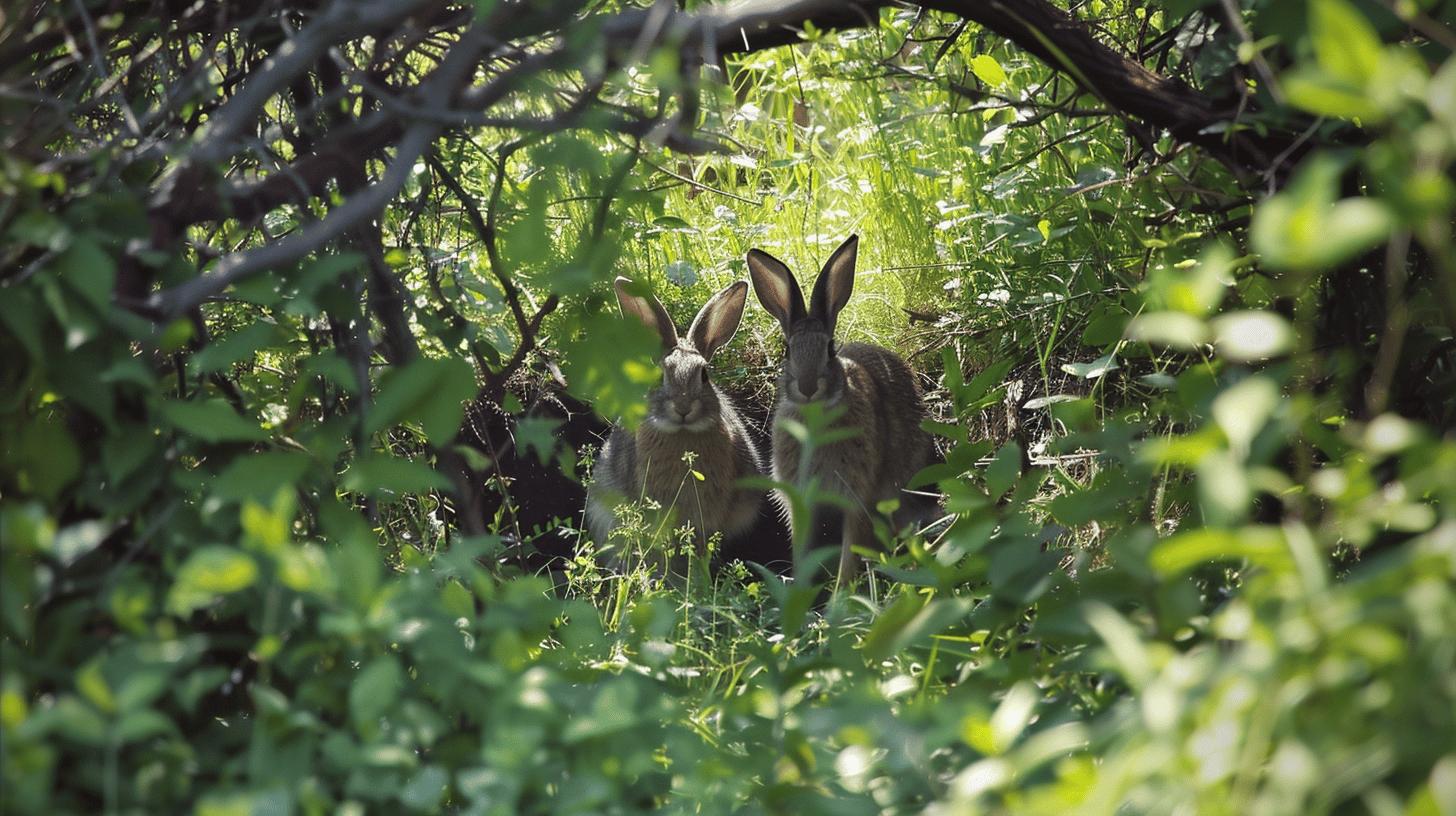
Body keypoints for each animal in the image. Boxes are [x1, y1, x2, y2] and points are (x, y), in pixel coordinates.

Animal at [745, 233, 937, 582]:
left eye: (831, 349)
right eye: (787, 350)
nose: (808, 388)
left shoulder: (858, 496)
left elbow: (853, 549)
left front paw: (842, 592)